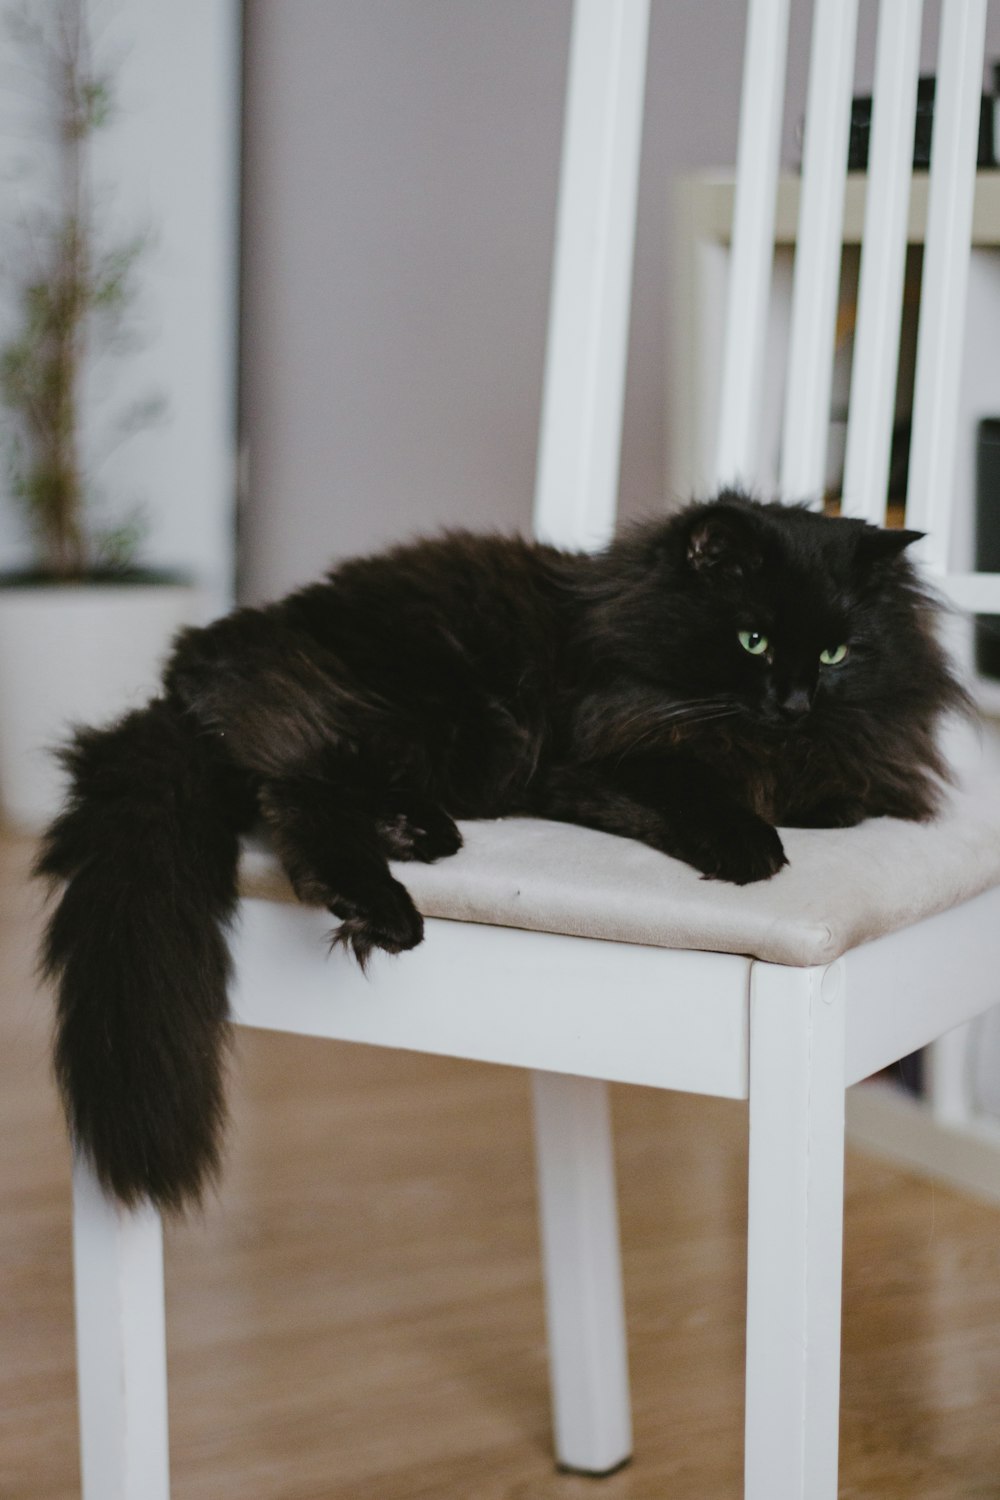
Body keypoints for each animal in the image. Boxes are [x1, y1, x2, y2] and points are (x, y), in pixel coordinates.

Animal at [39, 498, 971, 1212]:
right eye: (751, 641)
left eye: (835, 651)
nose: (795, 701)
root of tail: (199, 669)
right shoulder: (595, 758)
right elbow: (700, 792)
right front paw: (750, 847)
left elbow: (842, 795)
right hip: (414, 715)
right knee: (300, 797)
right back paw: (386, 906)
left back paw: (416, 837)